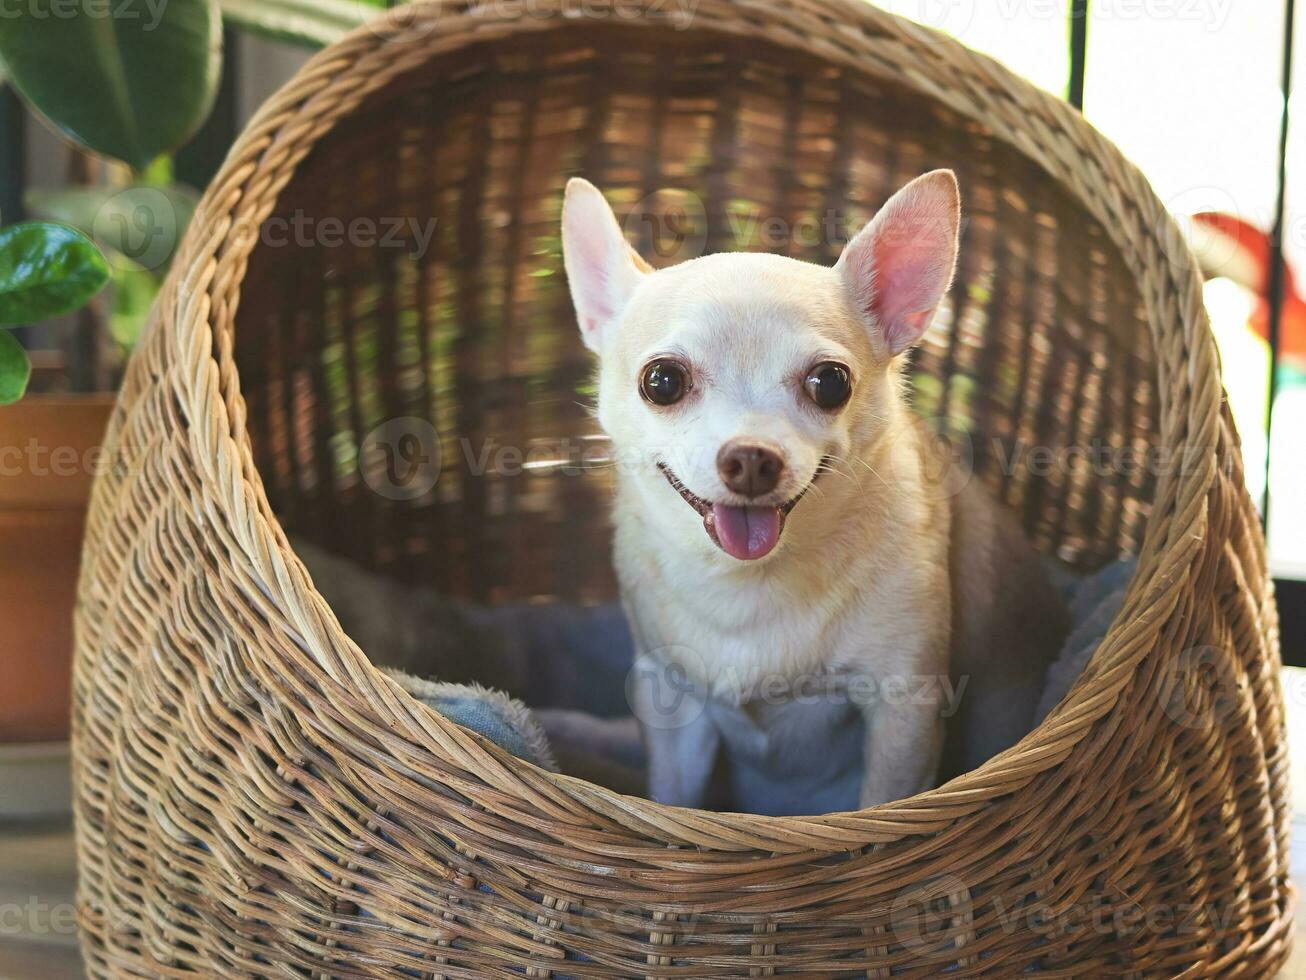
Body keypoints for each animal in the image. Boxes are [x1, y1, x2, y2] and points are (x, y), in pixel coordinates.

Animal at [564, 171, 1070, 815]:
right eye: (662, 382)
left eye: (830, 383)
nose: (751, 459)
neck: (751, 584)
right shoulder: (671, 706)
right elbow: (674, 797)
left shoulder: (904, 708)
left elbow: (882, 798)